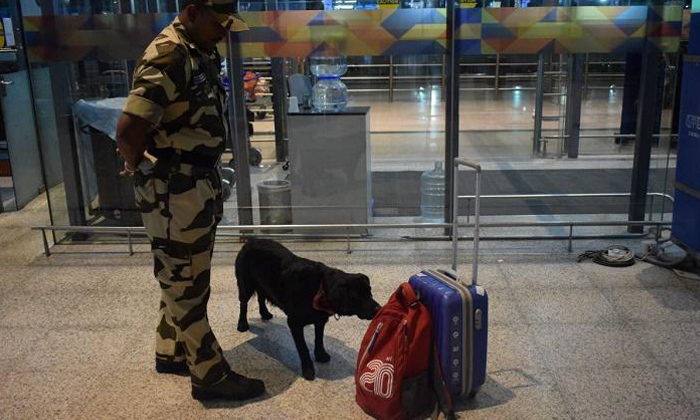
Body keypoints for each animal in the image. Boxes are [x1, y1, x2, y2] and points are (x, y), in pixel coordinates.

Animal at [235, 240, 380, 380]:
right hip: (245, 286)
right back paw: (242, 324)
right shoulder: (294, 323)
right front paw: (308, 369)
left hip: (262, 283)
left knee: (261, 297)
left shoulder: (320, 320)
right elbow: (303, 349)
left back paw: (264, 313)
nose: (378, 308)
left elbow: (319, 339)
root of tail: (249, 241)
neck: (319, 289)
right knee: (243, 305)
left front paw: (320, 355)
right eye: (357, 296)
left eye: (369, 292)